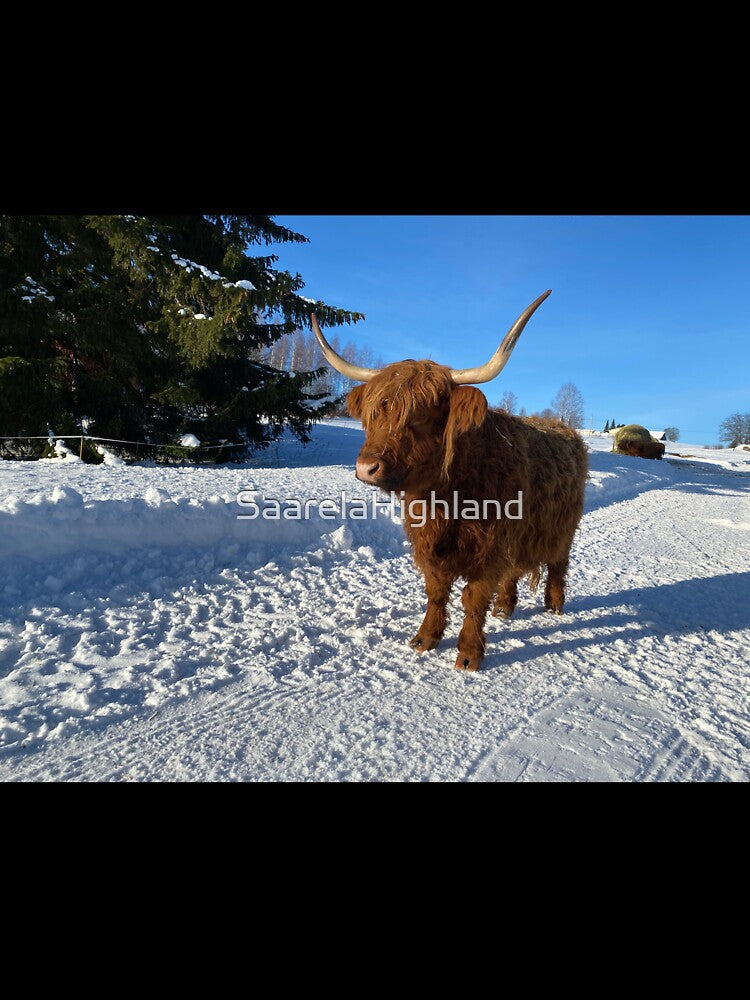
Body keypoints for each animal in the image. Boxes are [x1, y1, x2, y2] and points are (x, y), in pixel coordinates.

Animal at [311, 290, 588, 672]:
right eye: (376, 412)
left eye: (422, 416)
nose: (367, 467)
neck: (447, 499)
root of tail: (566, 431)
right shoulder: (430, 544)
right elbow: (436, 591)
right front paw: (425, 637)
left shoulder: (490, 548)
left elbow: (473, 598)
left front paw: (469, 653)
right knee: (514, 570)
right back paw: (505, 606)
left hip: (564, 528)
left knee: (559, 563)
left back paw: (554, 604)